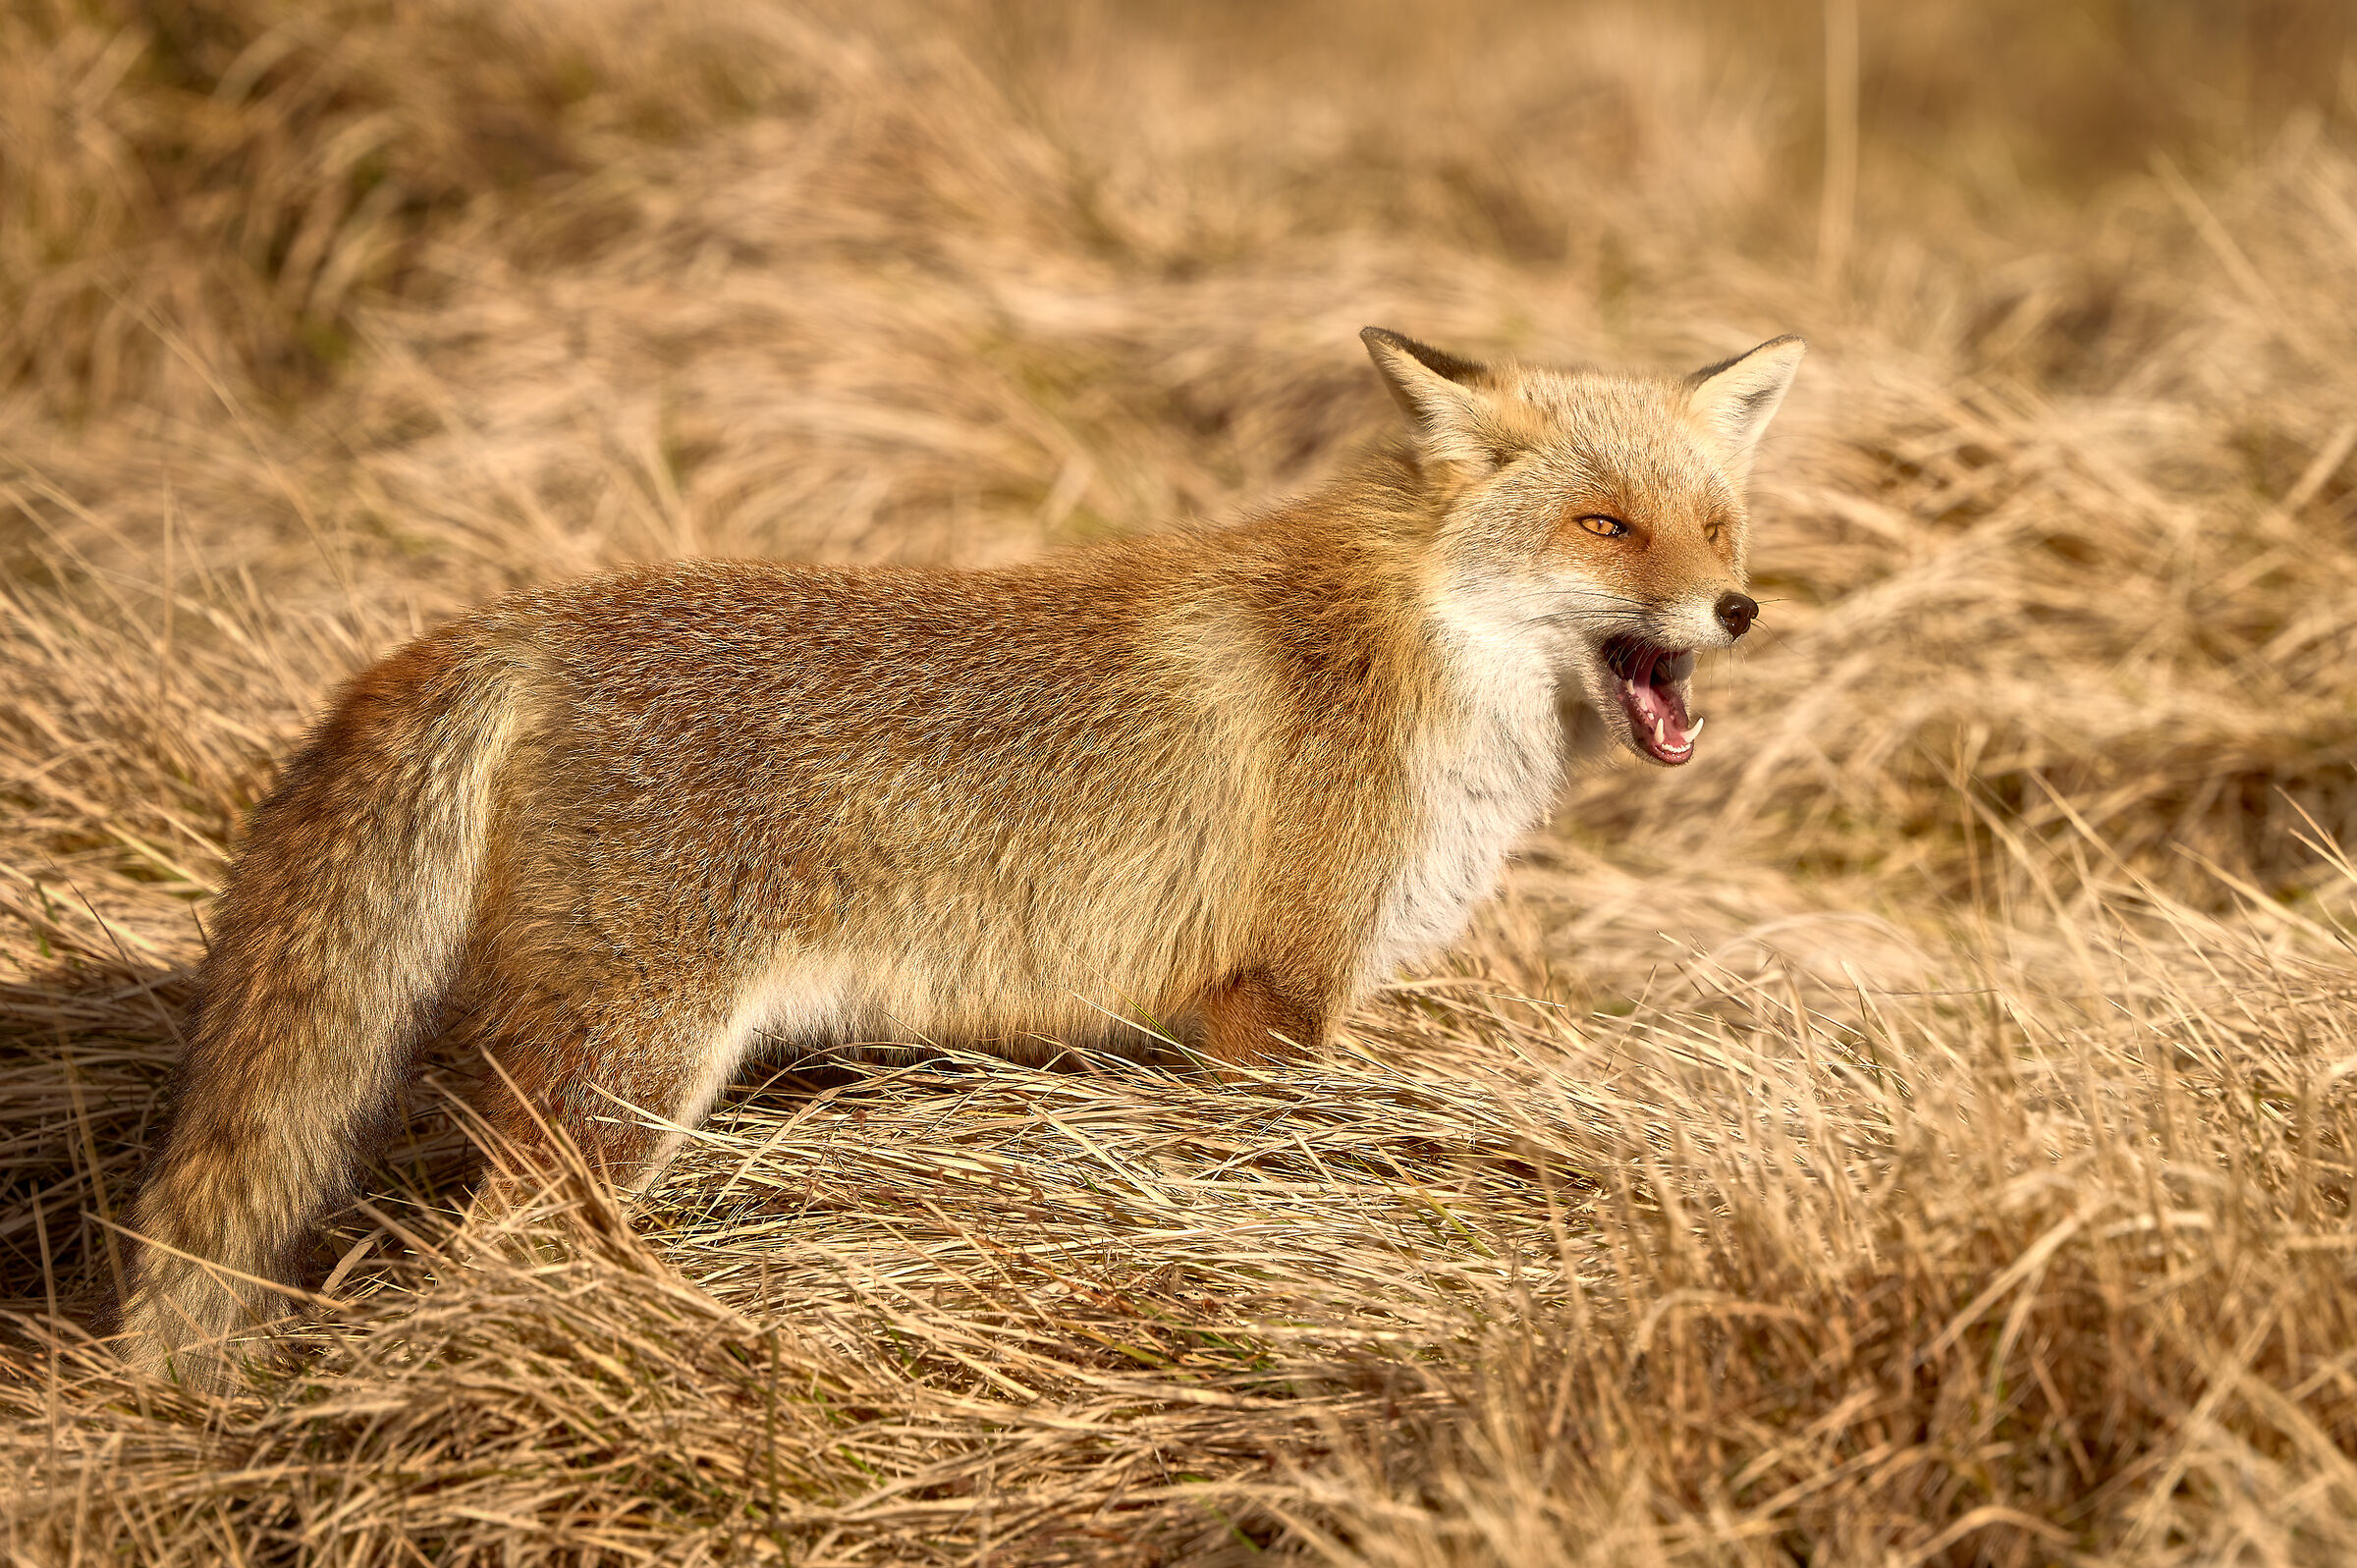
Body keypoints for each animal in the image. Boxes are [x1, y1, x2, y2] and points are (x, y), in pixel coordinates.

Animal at [119, 326, 1804, 1383]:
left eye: (1715, 526)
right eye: (1604, 525)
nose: (1735, 612)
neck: (1417, 654)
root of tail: (514, 623)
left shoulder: (1175, 1022)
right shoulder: (1274, 992)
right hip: (636, 1072)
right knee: (495, 1251)